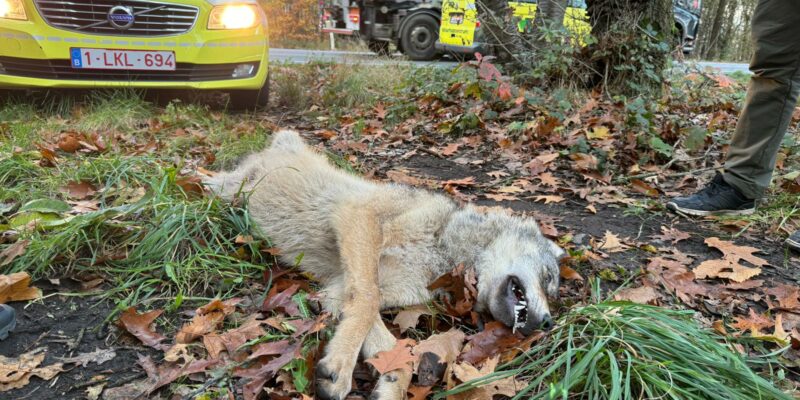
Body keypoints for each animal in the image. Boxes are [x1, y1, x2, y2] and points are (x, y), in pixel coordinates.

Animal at [205, 131, 564, 400]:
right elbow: (366, 301)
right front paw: (340, 367)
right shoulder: (359, 215)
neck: (444, 250)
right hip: (226, 189)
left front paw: (389, 385)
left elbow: (394, 349)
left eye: (552, 288)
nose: (548, 323)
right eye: (549, 279)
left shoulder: (337, 291)